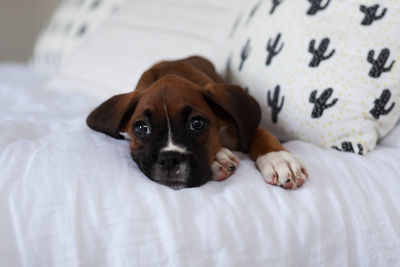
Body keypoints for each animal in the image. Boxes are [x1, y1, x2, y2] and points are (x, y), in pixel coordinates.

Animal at [86, 56, 306, 191]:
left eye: (197, 124)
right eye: (141, 128)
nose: (169, 159)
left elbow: (260, 133)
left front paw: (278, 158)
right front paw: (219, 158)